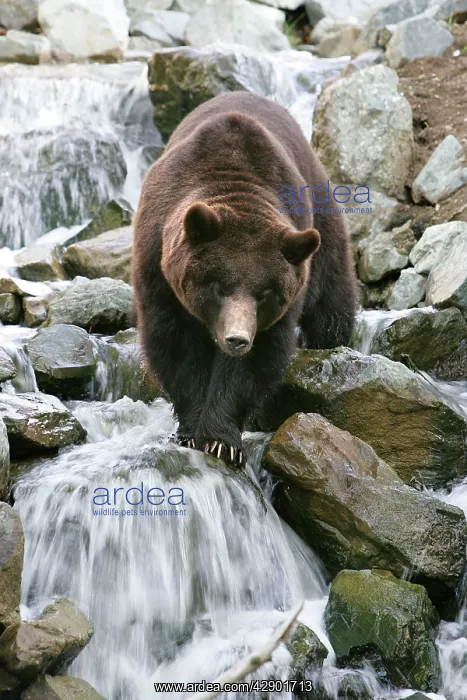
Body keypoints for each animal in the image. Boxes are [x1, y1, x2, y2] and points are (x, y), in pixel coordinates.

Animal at [133, 92, 358, 467]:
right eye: (217, 286)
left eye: (265, 293)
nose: (237, 339)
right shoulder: (158, 269)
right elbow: (175, 345)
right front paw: (192, 430)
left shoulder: (278, 304)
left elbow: (256, 362)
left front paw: (220, 439)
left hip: (321, 228)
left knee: (331, 300)